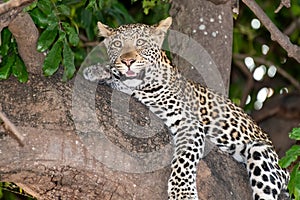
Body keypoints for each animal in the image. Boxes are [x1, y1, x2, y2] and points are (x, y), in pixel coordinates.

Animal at [82, 17, 290, 200]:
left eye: (140, 42)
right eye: (117, 44)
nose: (127, 61)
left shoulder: (188, 122)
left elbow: (184, 160)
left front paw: (183, 193)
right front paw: (96, 71)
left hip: (261, 153)